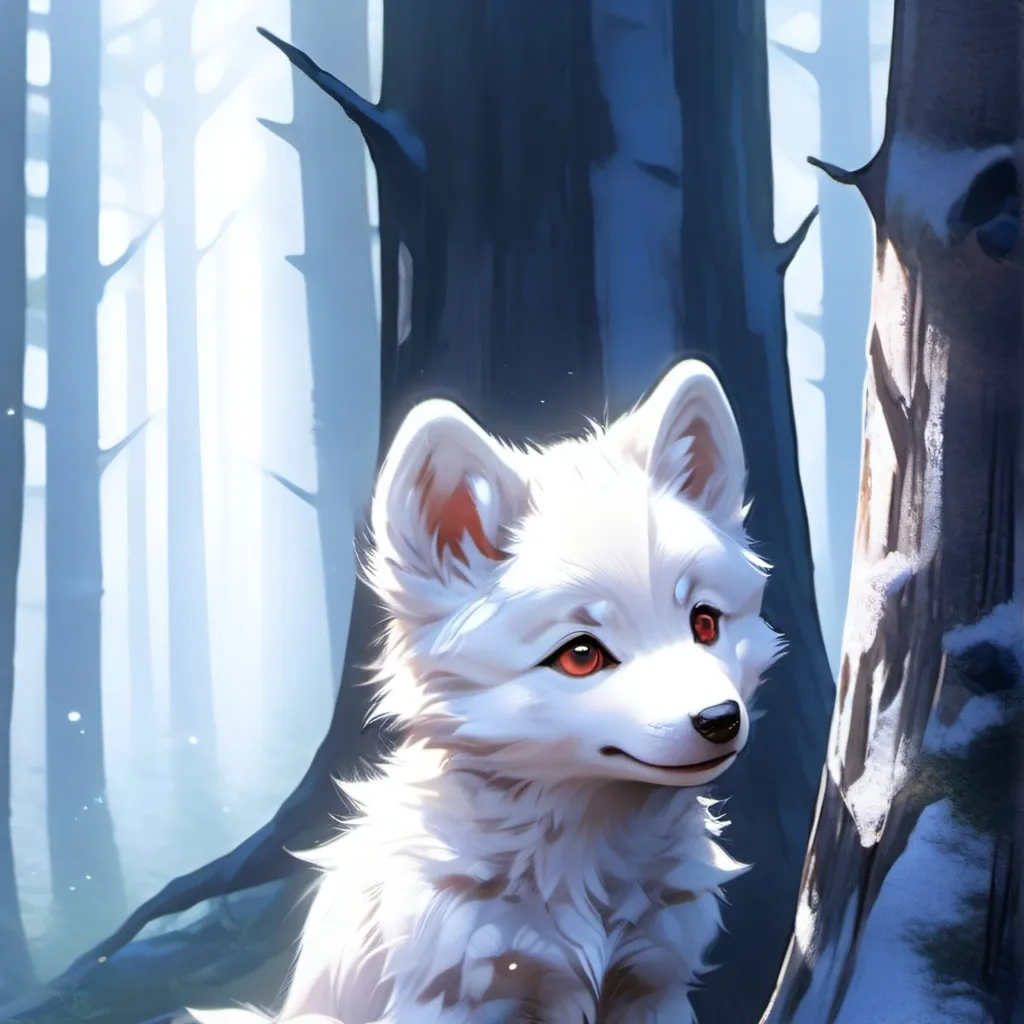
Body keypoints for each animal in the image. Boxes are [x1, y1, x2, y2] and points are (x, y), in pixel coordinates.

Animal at [190, 358, 782, 1024]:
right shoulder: (452, 998)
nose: (720, 719)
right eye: (581, 655)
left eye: (704, 624)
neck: (586, 862)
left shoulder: (654, 983)